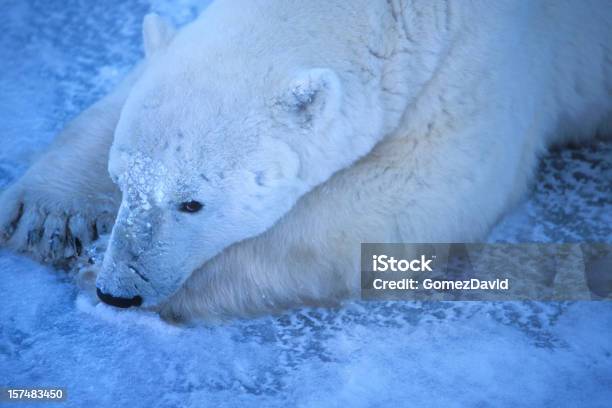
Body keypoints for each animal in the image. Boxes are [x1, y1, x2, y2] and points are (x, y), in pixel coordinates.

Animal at [1, 0, 612, 318]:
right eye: (121, 180)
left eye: (192, 203)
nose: (117, 291)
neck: (400, 12)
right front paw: (49, 218)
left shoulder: (484, 68)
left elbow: (417, 190)